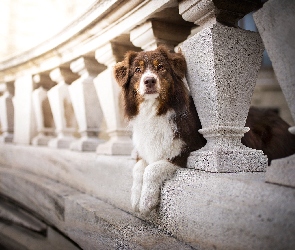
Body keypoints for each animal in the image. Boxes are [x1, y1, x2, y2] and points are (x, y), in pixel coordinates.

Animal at [114, 45, 295, 215]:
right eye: (138, 70)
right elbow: (138, 168)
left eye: (161, 67)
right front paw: (135, 197)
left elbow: (152, 169)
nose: (149, 81)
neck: (156, 111)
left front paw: (146, 201)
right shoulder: (146, 149)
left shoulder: (187, 149)